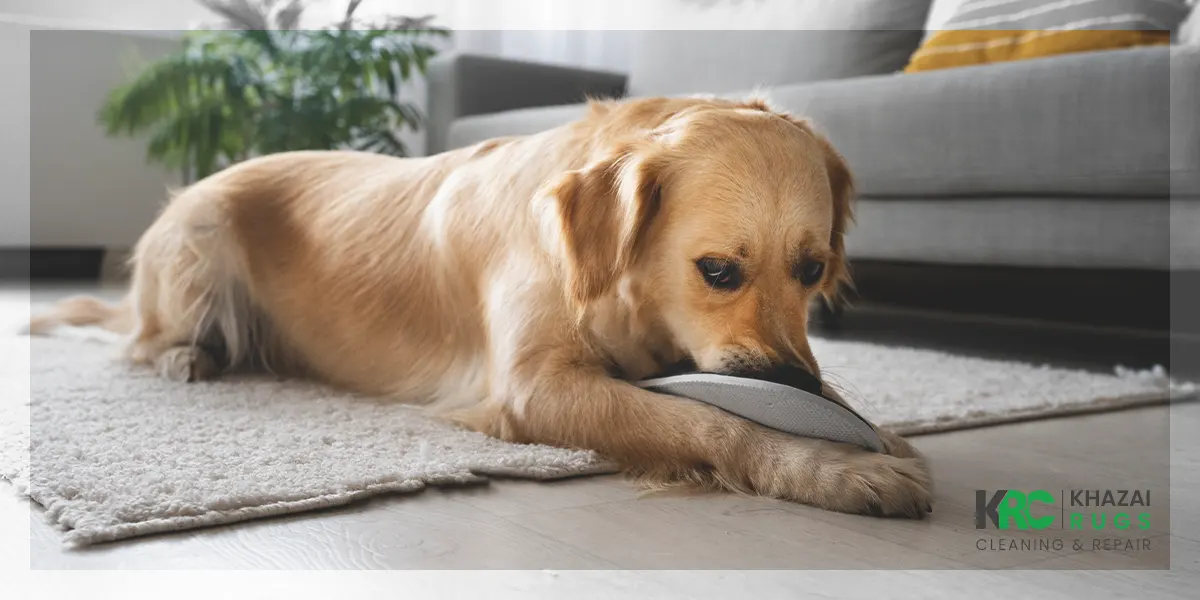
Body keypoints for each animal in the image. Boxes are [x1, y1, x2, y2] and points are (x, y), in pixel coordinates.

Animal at [30, 97, 936, 516]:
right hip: (198, 237)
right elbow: (711, 422)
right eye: (718, 271)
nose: (796, 384)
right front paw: (833, 466)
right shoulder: (537, 386)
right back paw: (192, 355)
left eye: (813, 268)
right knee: (142, 339)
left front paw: (871, 431)